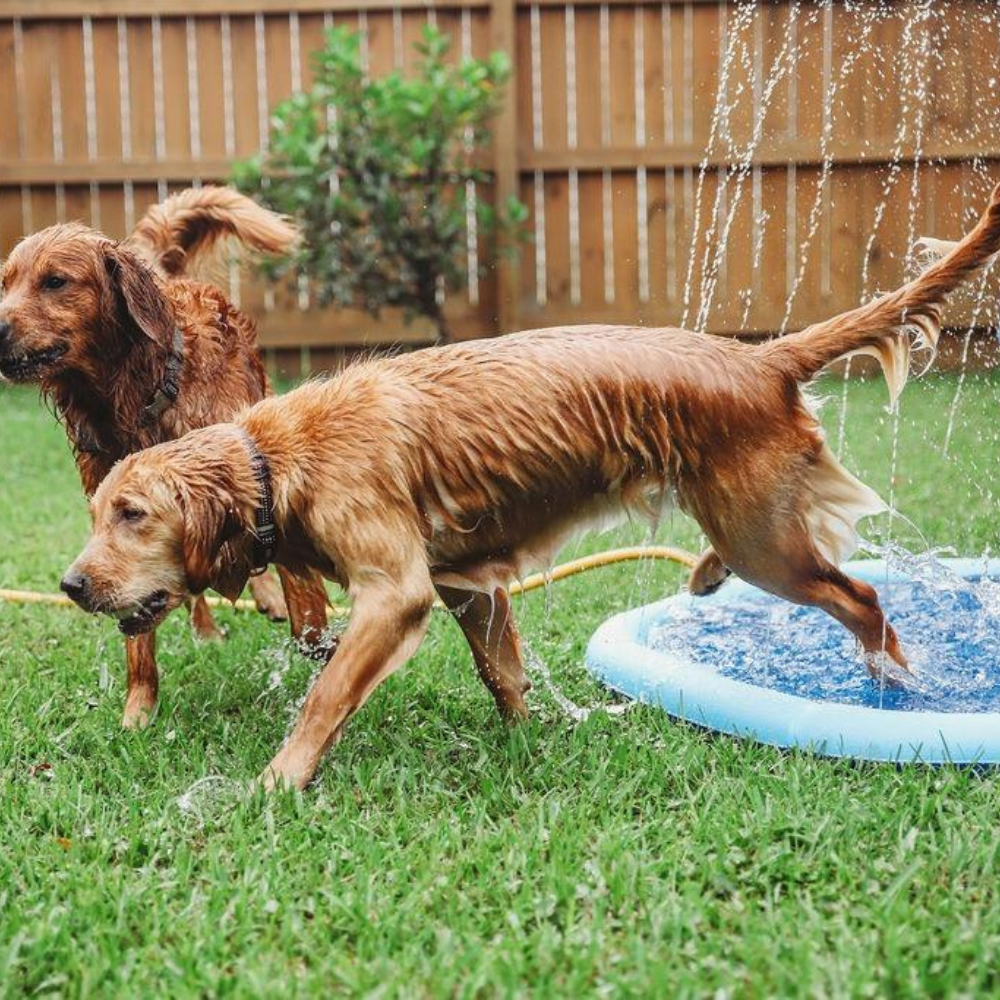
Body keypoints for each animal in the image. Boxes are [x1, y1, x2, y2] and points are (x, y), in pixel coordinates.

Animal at [0, 188, 330, 732]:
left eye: (55, 281)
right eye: (4, 284)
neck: (133, 398)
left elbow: (296, 578)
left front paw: (315, 635)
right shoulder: (117, 508)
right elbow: (136, 612)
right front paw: (140, 706)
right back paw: (207, 628)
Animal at [60, 180, 1000, 788]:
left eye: (133, 515)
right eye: (98, 511)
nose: (69, 584)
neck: (276, 457)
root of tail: (760, 356)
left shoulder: (397, 590)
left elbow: (323, 697)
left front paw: (276, 782)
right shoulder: (464, 583)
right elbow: (501, 672)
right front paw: (532, 733)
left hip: (767, 542)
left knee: (862, 596)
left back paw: (889, 683)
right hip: (745, 522)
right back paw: (704, 577)